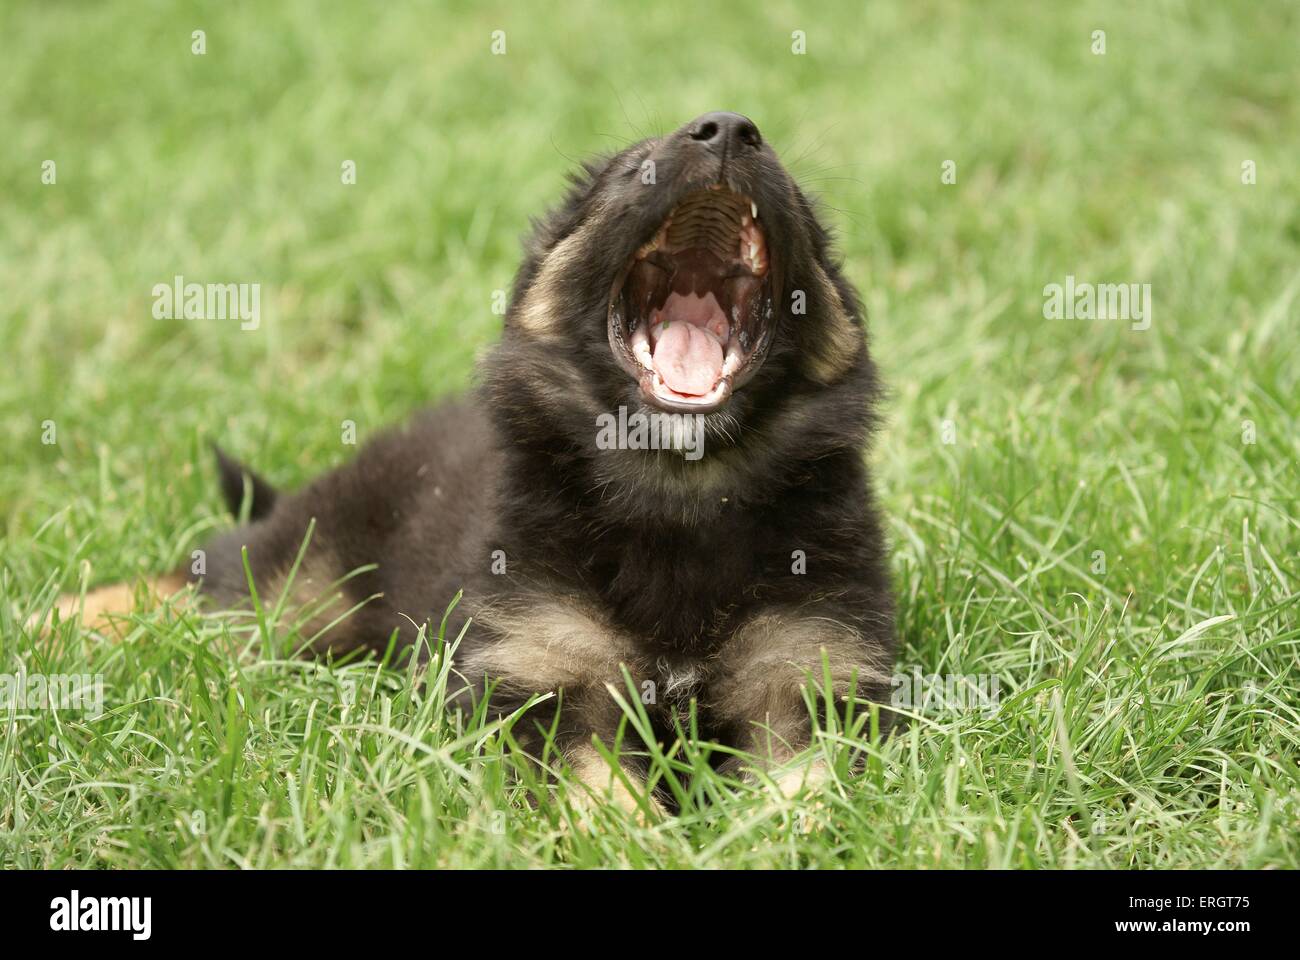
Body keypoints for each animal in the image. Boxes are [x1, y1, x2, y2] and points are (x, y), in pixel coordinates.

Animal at [45, 113, 894, 816]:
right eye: (629, 171)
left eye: (803, 214)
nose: (729, 130)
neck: (679, 495)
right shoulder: (547, 679)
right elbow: (600, 791)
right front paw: (634, 842)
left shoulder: (805, 681)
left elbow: (800, 796)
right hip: (299, 585)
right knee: (204, 579)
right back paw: (66, 616)